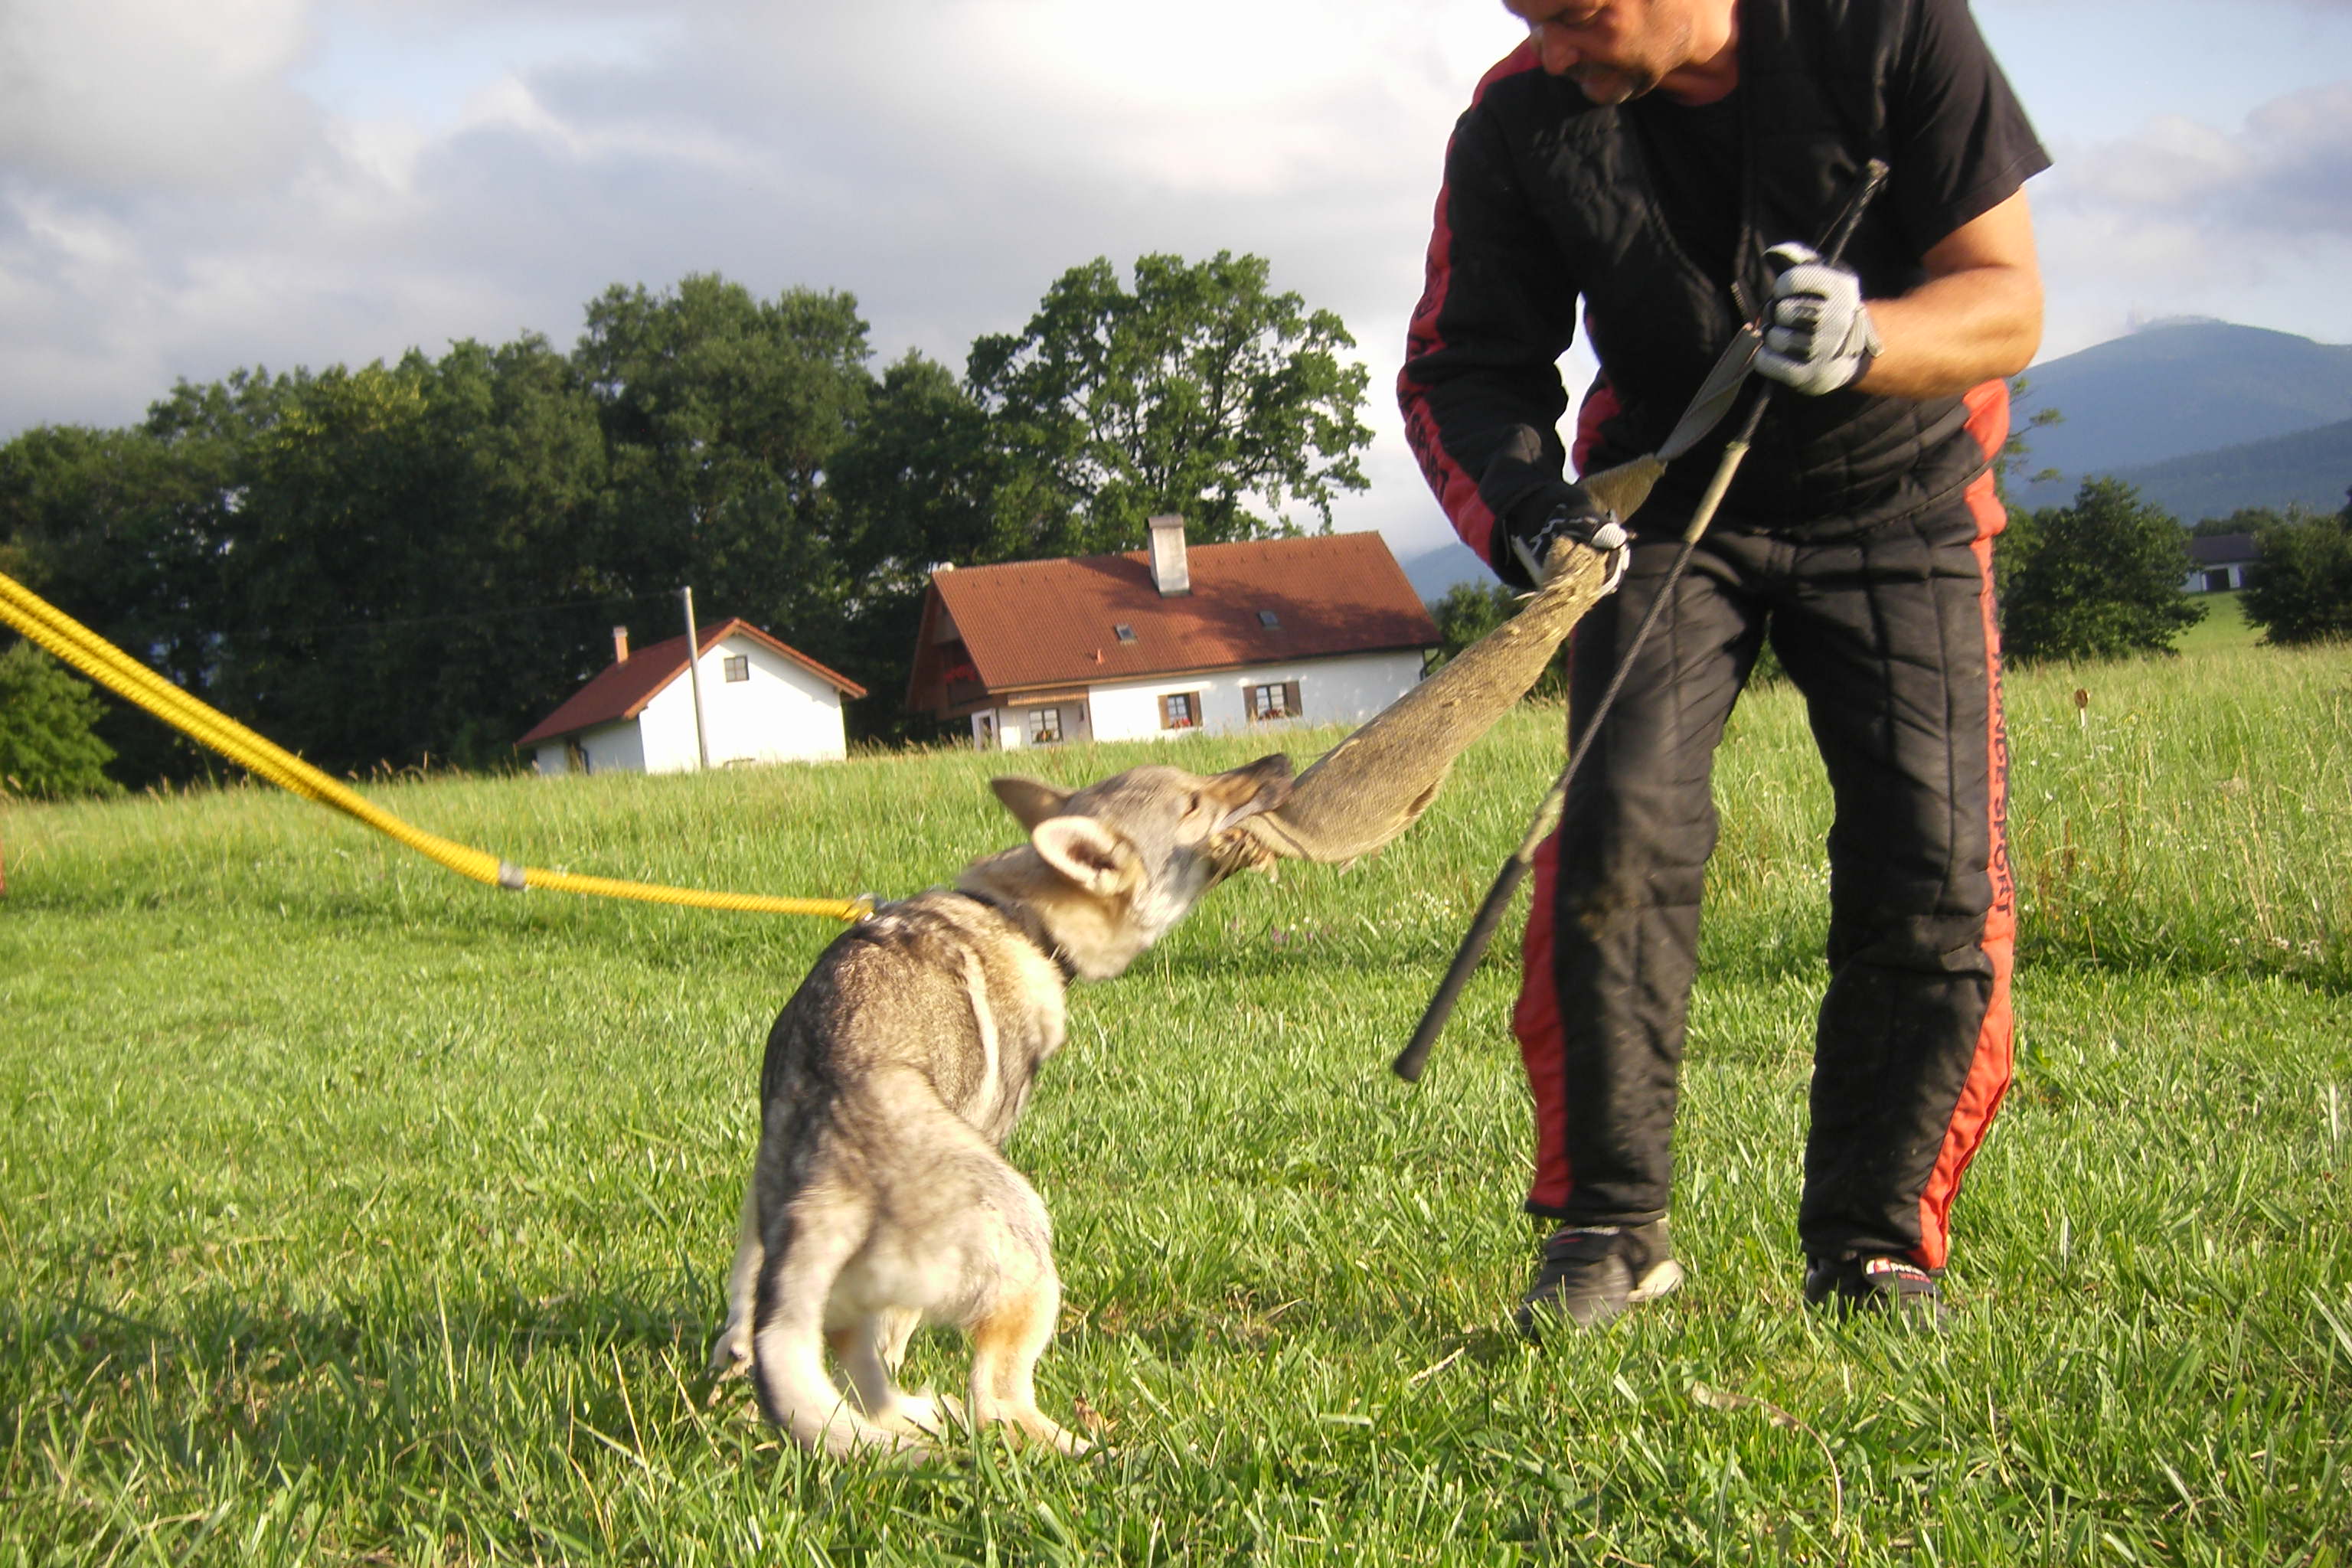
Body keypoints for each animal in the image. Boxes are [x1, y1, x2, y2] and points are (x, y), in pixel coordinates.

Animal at [705, 752, 1298, 1457]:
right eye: (1193, 804)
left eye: (1197, 782)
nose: (1279, 762)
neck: (1020, 916)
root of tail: (830, 1179)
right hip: (1029, 1259)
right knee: (994, 1405)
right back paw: (1100, 1453)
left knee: (855, 1377)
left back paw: (913, 1414)